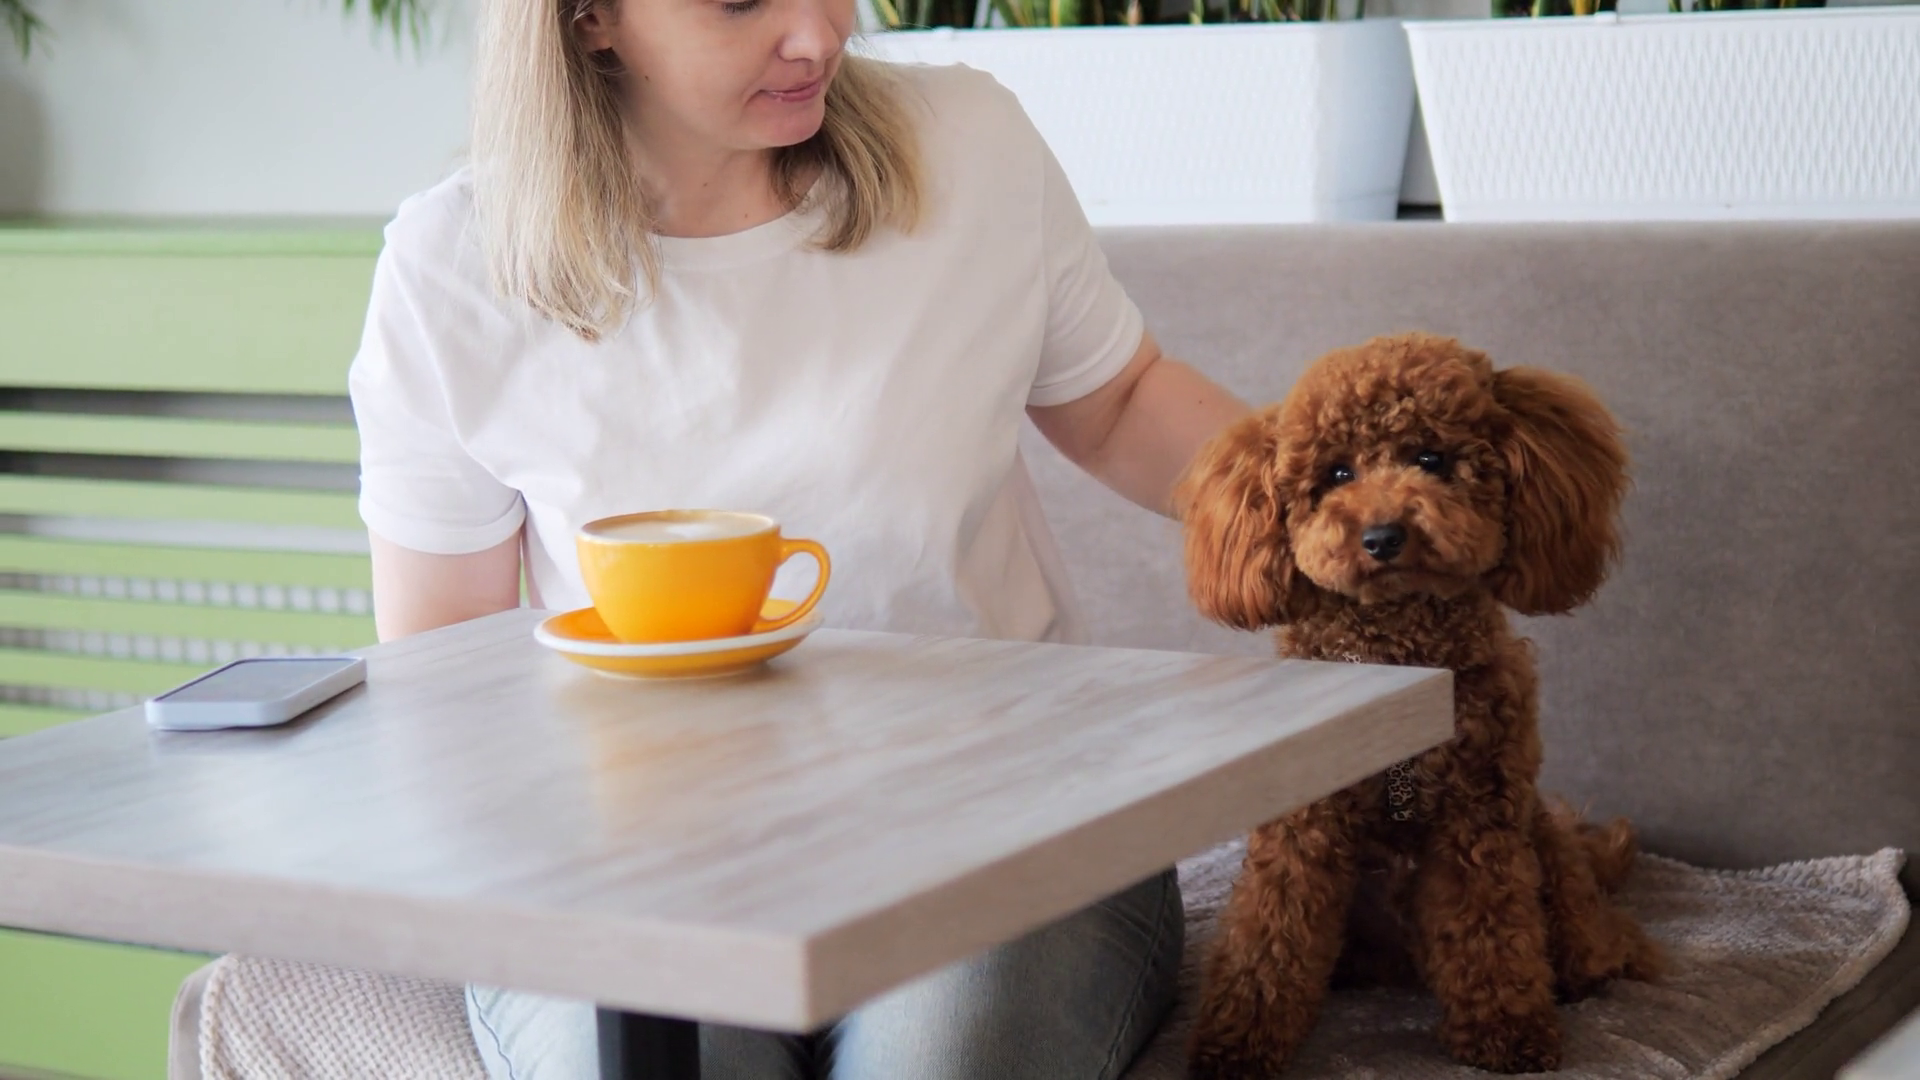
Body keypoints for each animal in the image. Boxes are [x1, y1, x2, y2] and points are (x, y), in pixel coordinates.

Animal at [1174, 333, 1662, 1077]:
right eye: (1336, 474)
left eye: (1430, 460)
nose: (1381, 537)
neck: (1401, 663)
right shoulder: (1301, 828)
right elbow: (1268, 935)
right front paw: (1236, 1046)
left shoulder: (1477, 820)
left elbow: (1488, 932)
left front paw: (1507, 1031)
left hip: (1543, 841)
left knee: (1590, 933)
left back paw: (1606, 961)